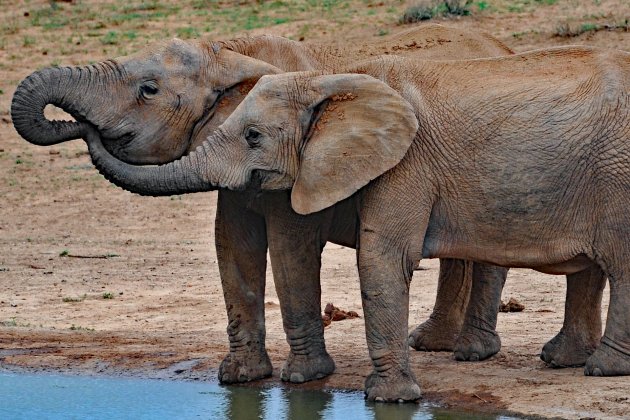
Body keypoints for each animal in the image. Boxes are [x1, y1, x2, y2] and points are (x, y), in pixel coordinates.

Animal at [11, 24, 608, 382]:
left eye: (149, 89)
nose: (80, 127)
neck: (232, 49)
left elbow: (289, 246)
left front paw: (303, 379)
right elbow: (233, 247)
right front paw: (241, 379)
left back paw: (468, 353)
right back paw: (436, 346)